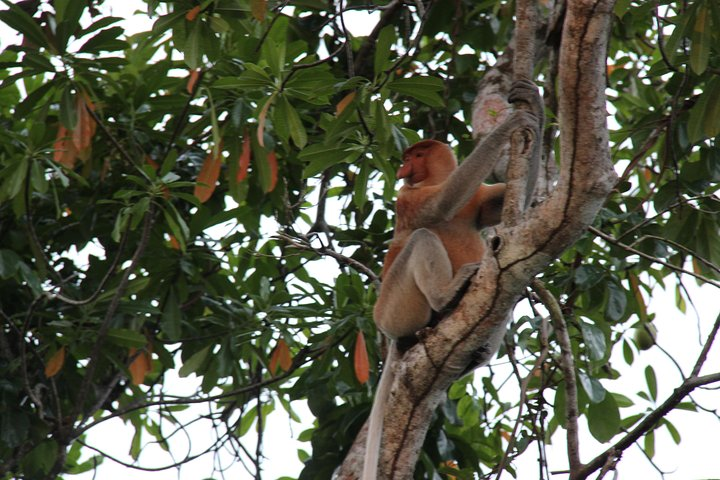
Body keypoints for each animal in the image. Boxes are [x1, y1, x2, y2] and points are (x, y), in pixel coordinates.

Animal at [362, 77, 544, 478]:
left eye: (415, 155)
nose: (402, 166)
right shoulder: (408, 198)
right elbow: (441, 205)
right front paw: (512, 124)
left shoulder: (481, 196)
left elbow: (516, 203)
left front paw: (533, 101)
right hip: (393, 309)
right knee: (421, 238)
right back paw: (446, 297)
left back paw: (471, 347)